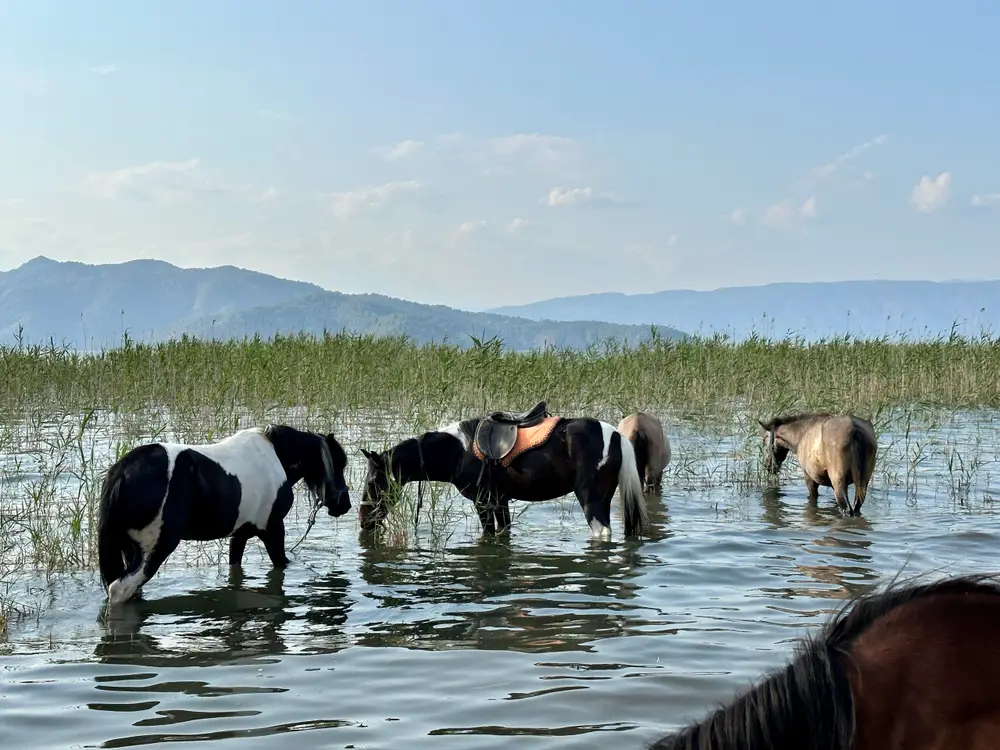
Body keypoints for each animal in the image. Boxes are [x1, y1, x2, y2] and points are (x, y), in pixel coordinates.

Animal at [97, 424, 351, 604]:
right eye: (338, 464)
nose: (344, 504)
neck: (276, 455)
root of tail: (122, 472)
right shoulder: (273, 530)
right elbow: (281, 565)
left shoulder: (240, 534)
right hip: (156, 549)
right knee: (120, 589)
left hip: (130, 549)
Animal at [358, 401, 648, 539]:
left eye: (373, 481)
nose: (363, 521)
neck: (458, 451)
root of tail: (614, 434)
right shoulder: (499, 501)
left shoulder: (483, 502)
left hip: (592, 501)